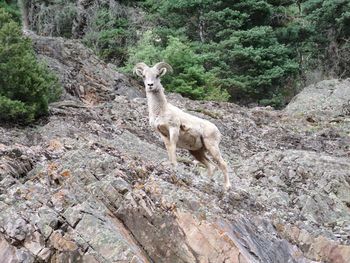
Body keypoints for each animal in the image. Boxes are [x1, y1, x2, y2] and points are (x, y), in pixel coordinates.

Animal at [133, 62, 231, 190]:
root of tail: (217, 132)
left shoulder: (173, 129)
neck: (161, 110)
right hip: (197, 152)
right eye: (144, 76)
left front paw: (174, 165)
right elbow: (168, 147)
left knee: (223, 164)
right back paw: (207, 182)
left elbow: (173, 146)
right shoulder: (162, 133)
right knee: (211, 166)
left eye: (157, 75)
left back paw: (227, 186)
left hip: (212, 147)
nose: (150, 85)